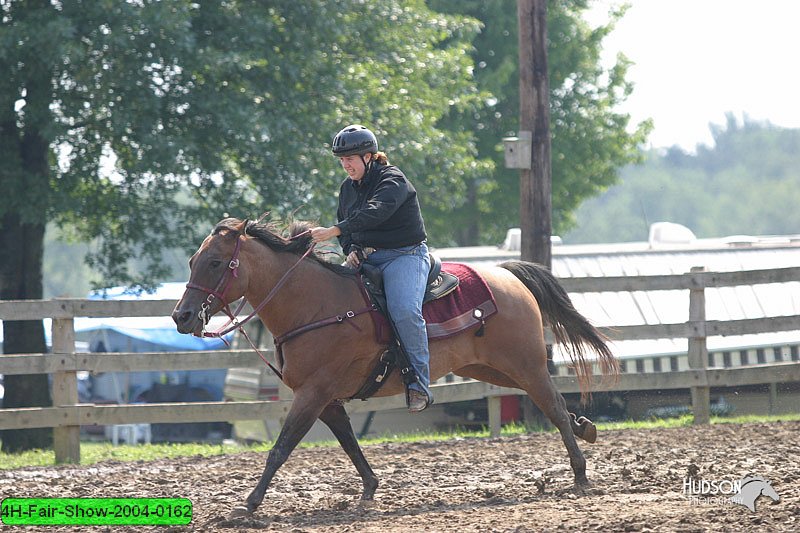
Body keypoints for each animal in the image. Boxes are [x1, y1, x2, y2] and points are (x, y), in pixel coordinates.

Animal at [170, 216, 620, 512]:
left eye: (215, 263)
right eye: (192, 261)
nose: (182, 316)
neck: (316, 305)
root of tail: (508, 276)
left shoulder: (313, 393)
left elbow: (280, 449)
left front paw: (248, 504)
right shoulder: (326, 399)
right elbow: (349, 443)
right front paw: (369, 488)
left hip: (525, 363)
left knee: (554, 406)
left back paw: (580, 474)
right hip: (489, 368)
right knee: (550, 403)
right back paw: (586, 428)